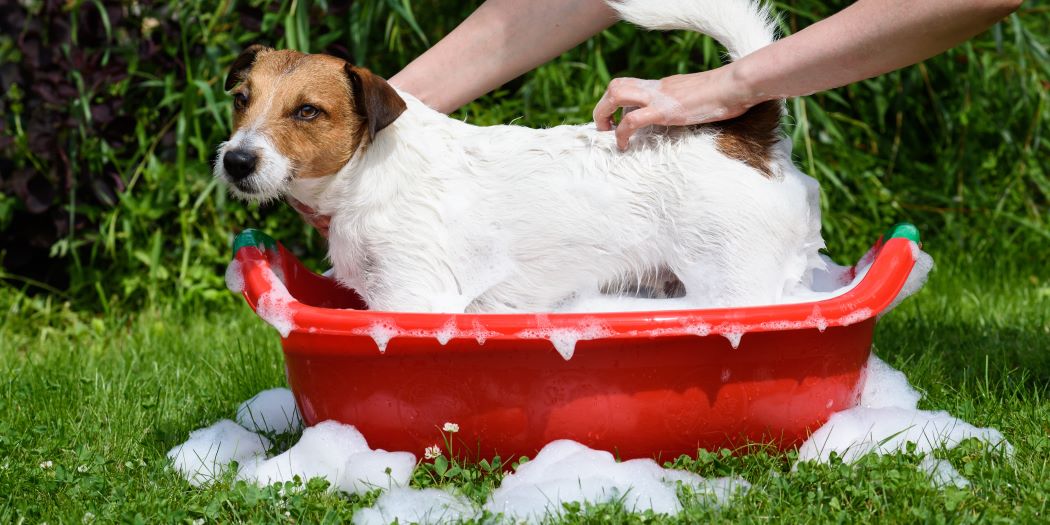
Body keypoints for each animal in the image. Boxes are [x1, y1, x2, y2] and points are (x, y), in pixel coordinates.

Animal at [217, 0, 827, 310]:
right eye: (242, 99)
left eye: (308, 112)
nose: (236, 162)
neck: (370, 174)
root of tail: (743, 134)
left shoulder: (417, 299)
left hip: (736, 280)